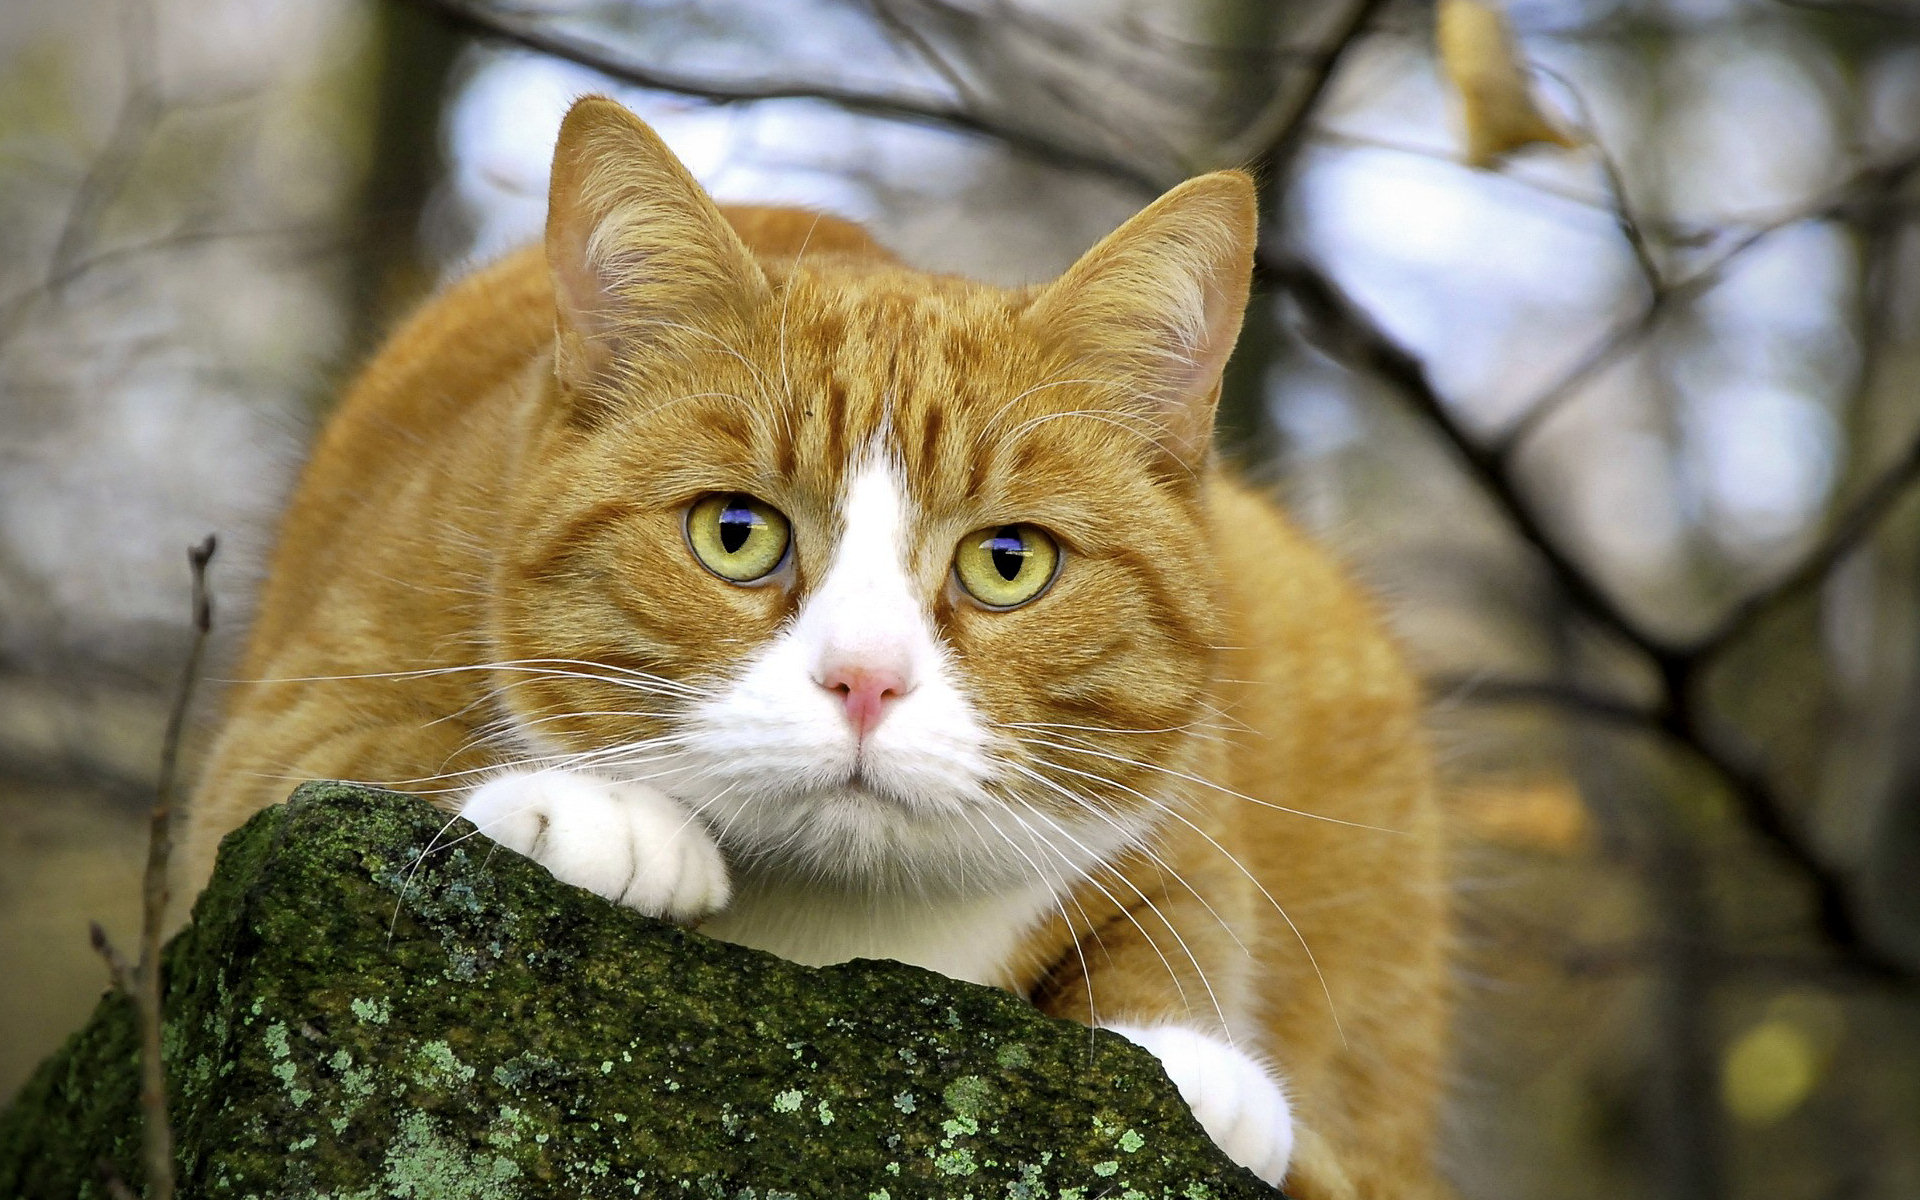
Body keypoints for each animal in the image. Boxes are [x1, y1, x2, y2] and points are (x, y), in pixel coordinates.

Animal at [180, 96, 1443, 1198]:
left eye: (1009, 563)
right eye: (736, 534)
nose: (866, 681)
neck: (827, 934)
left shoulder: (1191, 808)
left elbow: (1190, 918)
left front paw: (1196, 1067)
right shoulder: (286, 727)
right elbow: (375, 764)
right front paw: (601, 813)